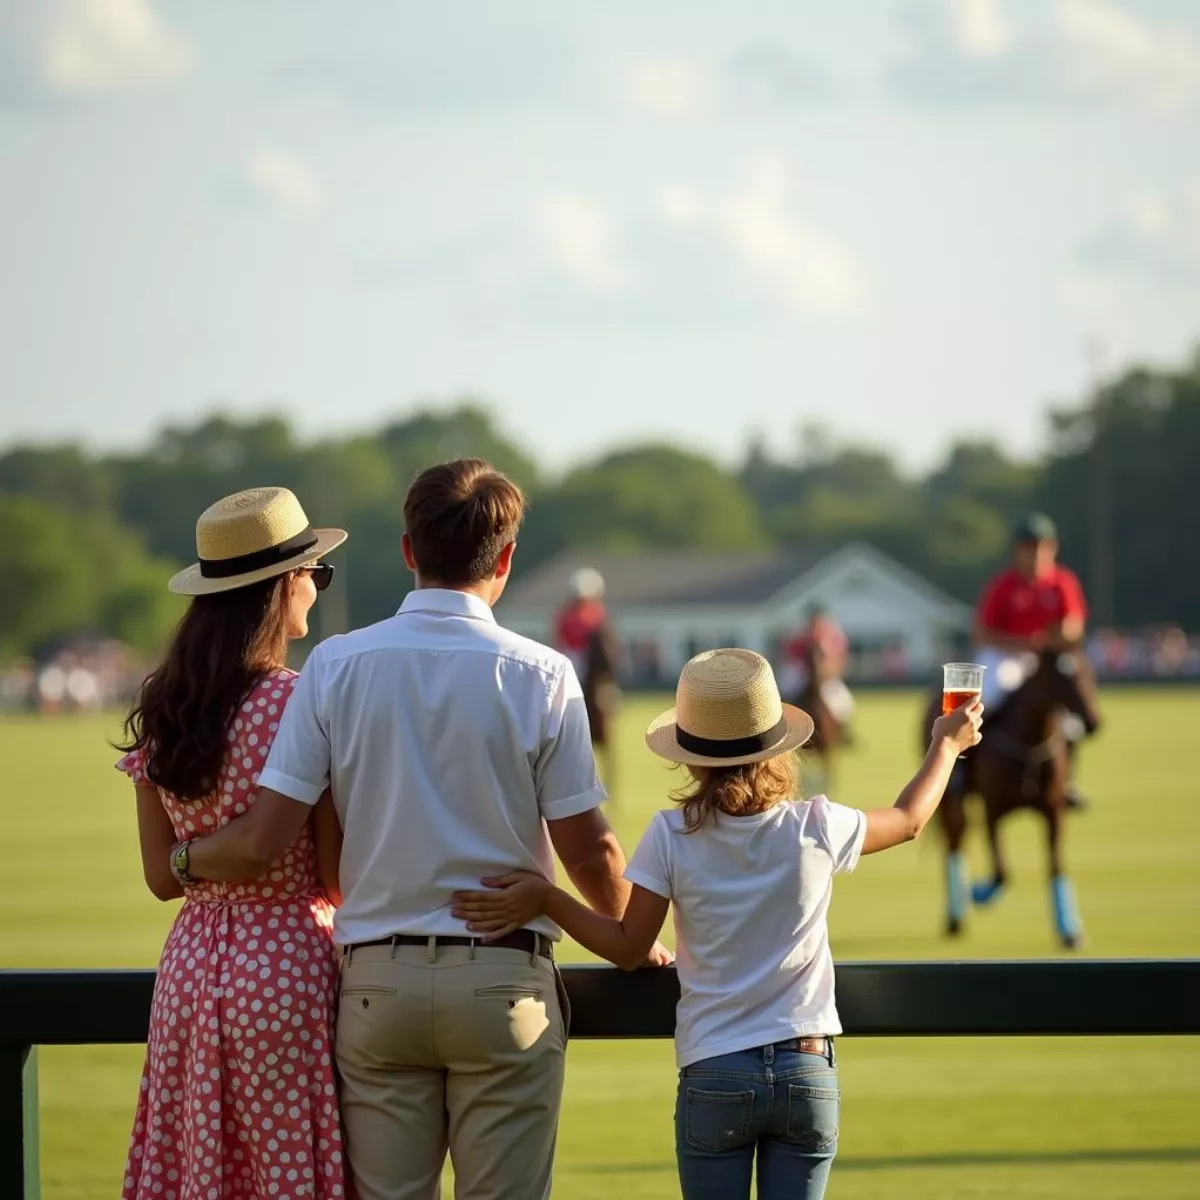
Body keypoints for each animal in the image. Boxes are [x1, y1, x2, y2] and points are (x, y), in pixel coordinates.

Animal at [921, 652, 1099, 950]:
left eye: (1087, 671)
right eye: (1060, 676)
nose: (1093, 722)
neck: (1031, 741)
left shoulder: (1054, 811)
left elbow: (1056, 866)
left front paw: (1070, 931)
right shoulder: (993, 809)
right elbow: (1002, 871)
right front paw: (977, 892)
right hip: (951, 803)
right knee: (955, 842)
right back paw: (956, 915)